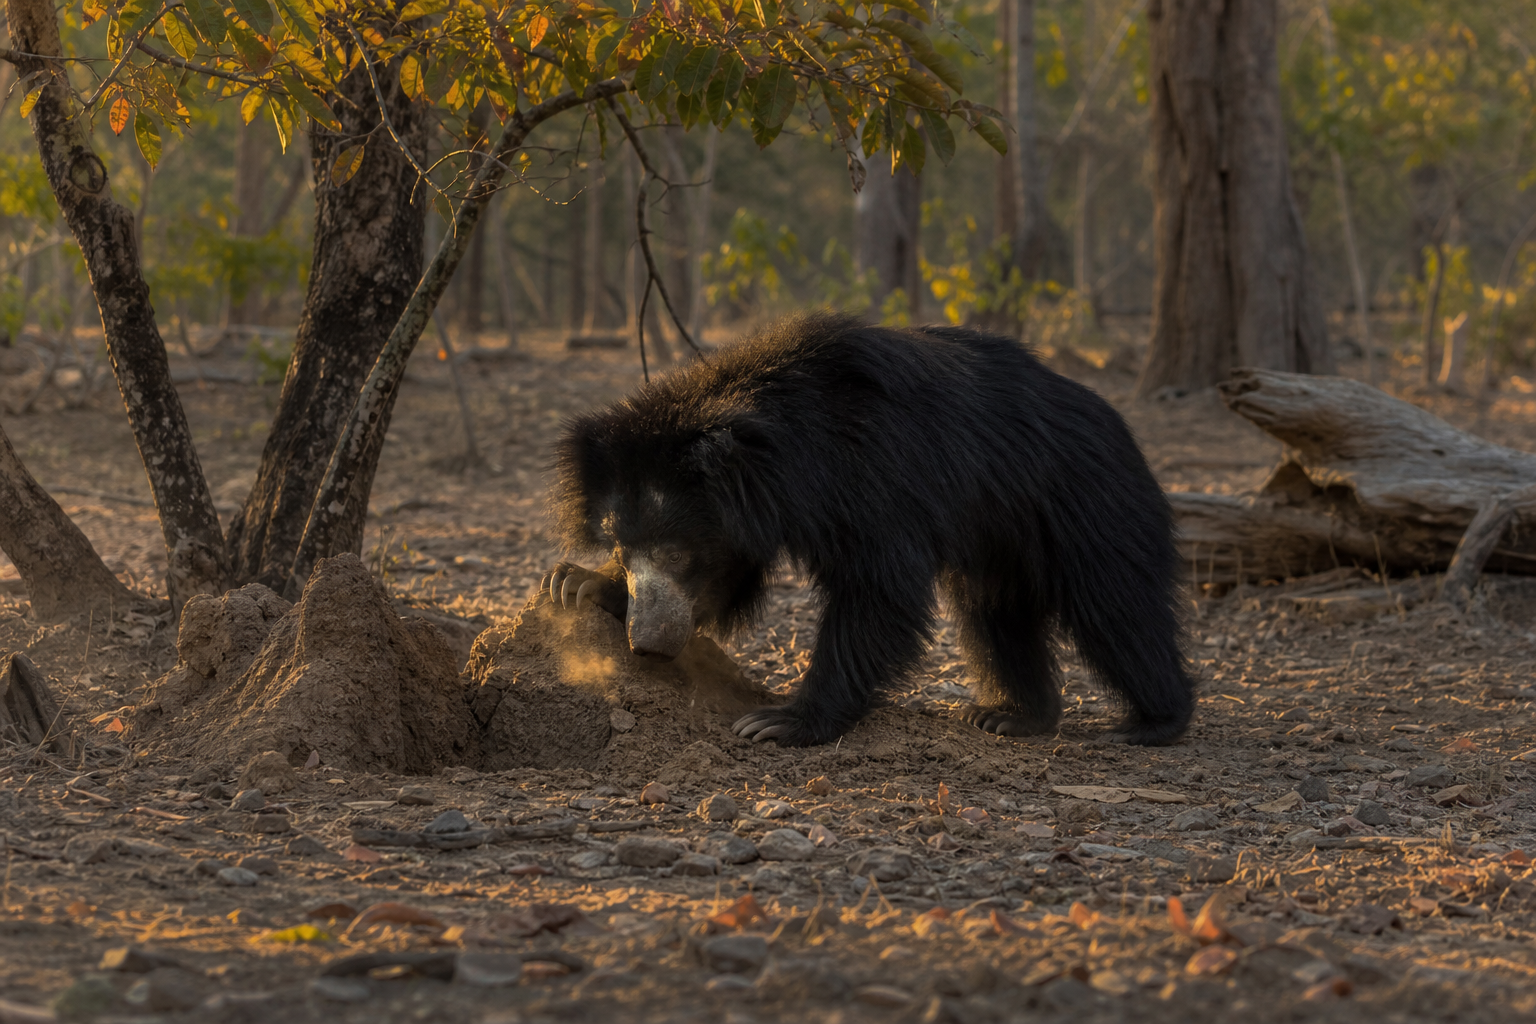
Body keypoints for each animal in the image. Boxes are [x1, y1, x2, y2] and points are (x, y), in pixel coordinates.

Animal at [542, 312, 1194, 747]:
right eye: (625, 550)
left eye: (677, 550)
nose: (646, 645)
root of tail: (1117, 423)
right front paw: (577, 582)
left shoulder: (874, 481)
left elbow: (878, 592)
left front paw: (778, 722)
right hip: (1001, 541)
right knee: (993, 614)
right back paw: (1010, 715)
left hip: (1086, 503)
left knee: (1116, 606)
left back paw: (1154, 721)